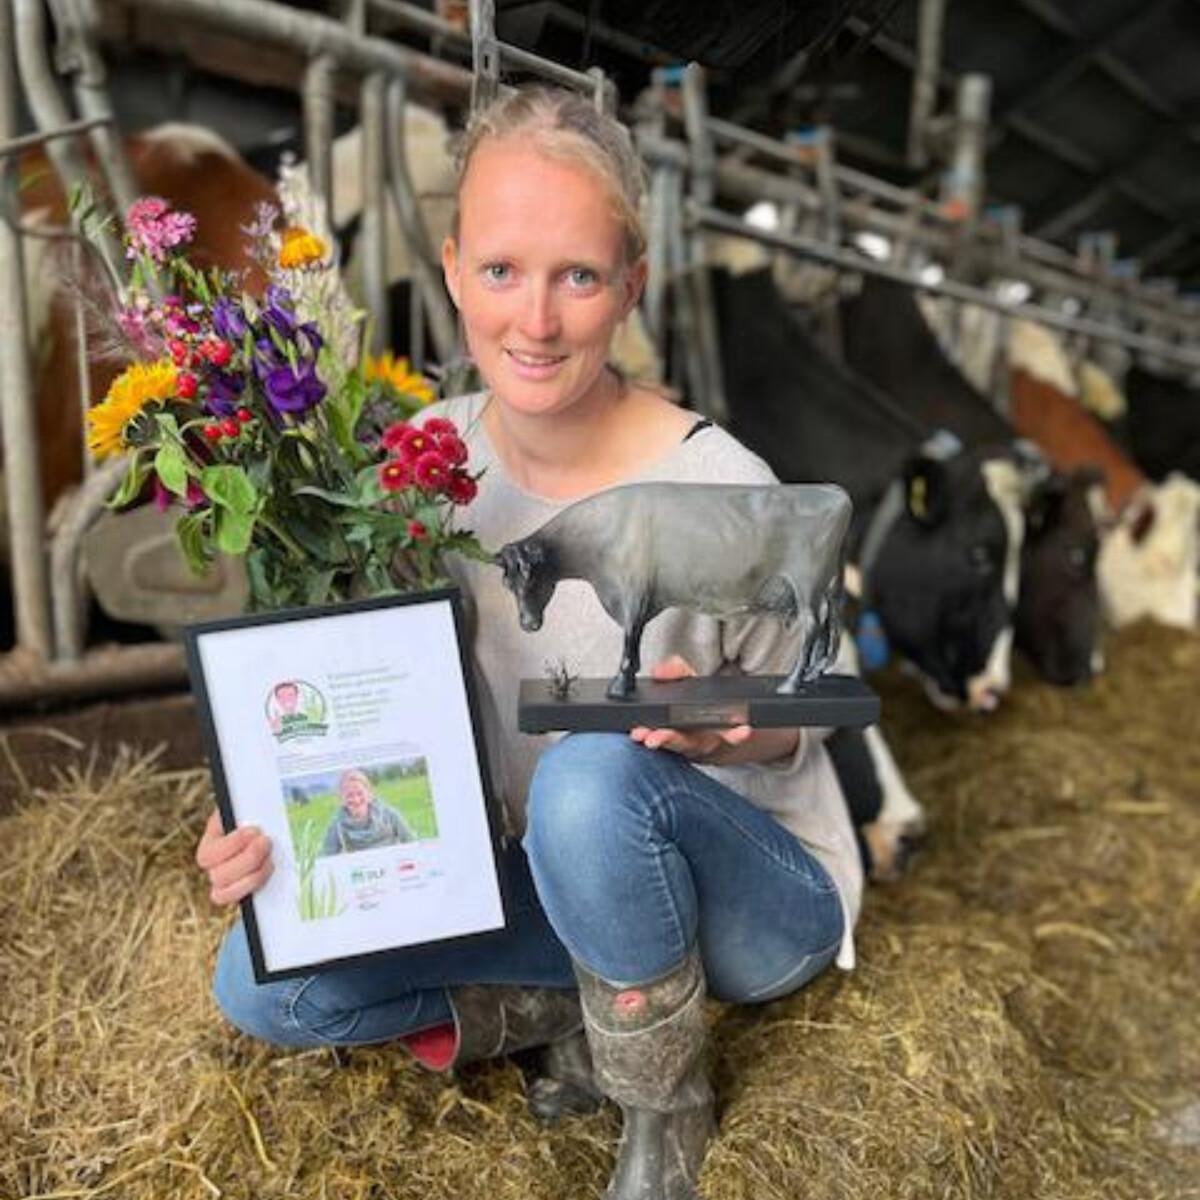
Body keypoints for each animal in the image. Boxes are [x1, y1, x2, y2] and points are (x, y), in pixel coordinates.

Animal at [496, 480, 854, 700]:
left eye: (531, 577)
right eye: (507, 583)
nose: (528, 624)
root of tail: (834, 492)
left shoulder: (633, 593)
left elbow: (629, 638)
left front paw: (619, 685)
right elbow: (635, 639)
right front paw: (630, 678)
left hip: (806, 584)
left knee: (812, 626)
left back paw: (790, 684)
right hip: (824, 588)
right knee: (827, 626)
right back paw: (811, 676)